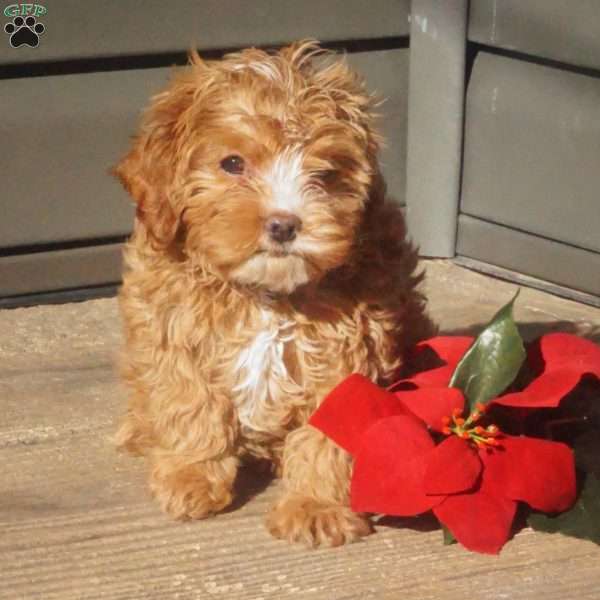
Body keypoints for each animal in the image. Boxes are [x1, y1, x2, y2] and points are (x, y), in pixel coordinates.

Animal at [113, 39, 432, 548]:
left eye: (325, 173)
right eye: (232, 164)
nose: (284, 224)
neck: (264, 294)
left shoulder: (348, 355)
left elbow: (328, 433)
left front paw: (316, 505)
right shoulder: (171, 329)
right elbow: (190, 401)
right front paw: (190, 474)